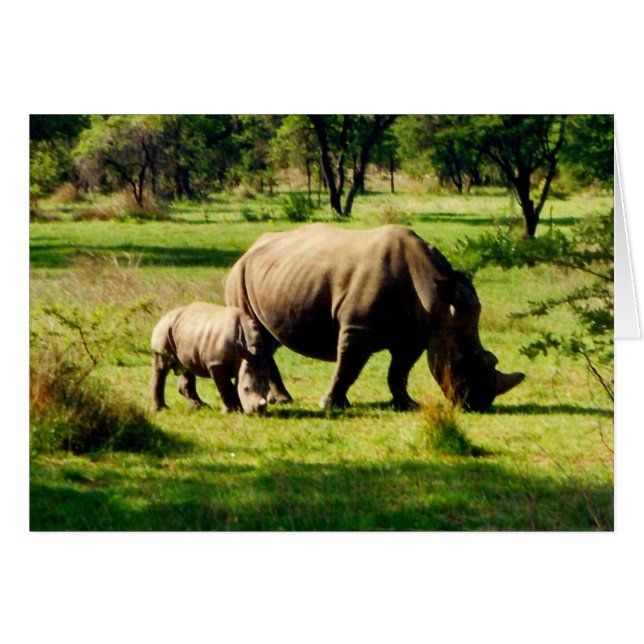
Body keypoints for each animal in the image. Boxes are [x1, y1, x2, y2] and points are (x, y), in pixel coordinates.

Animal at [224, 223, 525, 412]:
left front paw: (406, 405)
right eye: (462, 363)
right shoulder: (358, 328)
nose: (480, 403)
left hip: (274, 275)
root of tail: (248, 250)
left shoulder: (414, 334)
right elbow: (348, 367)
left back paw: (282, 399)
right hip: (239, 275)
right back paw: (284, 400)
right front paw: (330, 405)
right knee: (257, 334)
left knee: (270, 339)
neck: (437, 300)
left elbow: (399, 372)